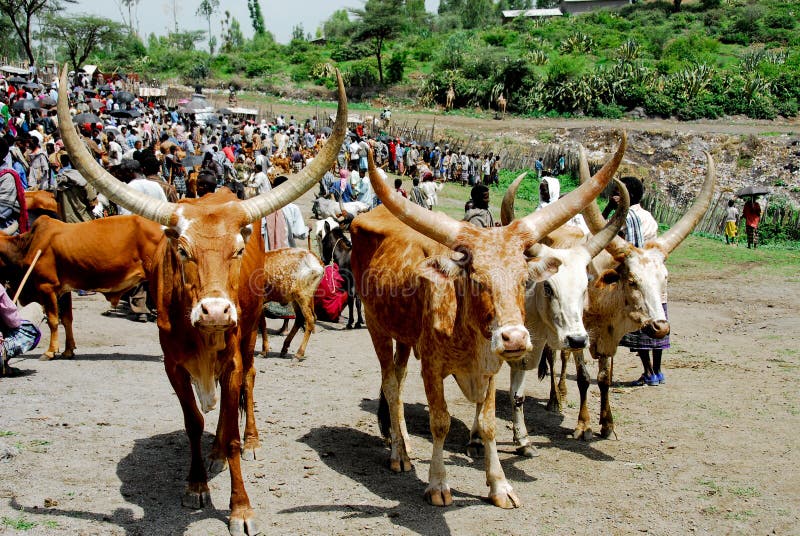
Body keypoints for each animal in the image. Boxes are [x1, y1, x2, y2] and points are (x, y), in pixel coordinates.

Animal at [0, 215, 162, 360]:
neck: (28, 245)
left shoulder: (47, 287)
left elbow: (53, 321)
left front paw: (50, 351)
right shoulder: (64, 290)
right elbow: (66, 319)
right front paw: (68, 351)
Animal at [350, 136, 624, 508]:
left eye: (525, 280)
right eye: (477, 280)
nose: (514, 339)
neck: (467, 329)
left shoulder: (492, 366)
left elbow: (490, 421)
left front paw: (499, 485)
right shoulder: (432, 368)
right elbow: (440, 421)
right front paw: (438, 484)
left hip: (404, 335)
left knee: (398, 379)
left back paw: (401, 440)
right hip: (376, 325)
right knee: (391, 385)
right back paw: (400, 455)